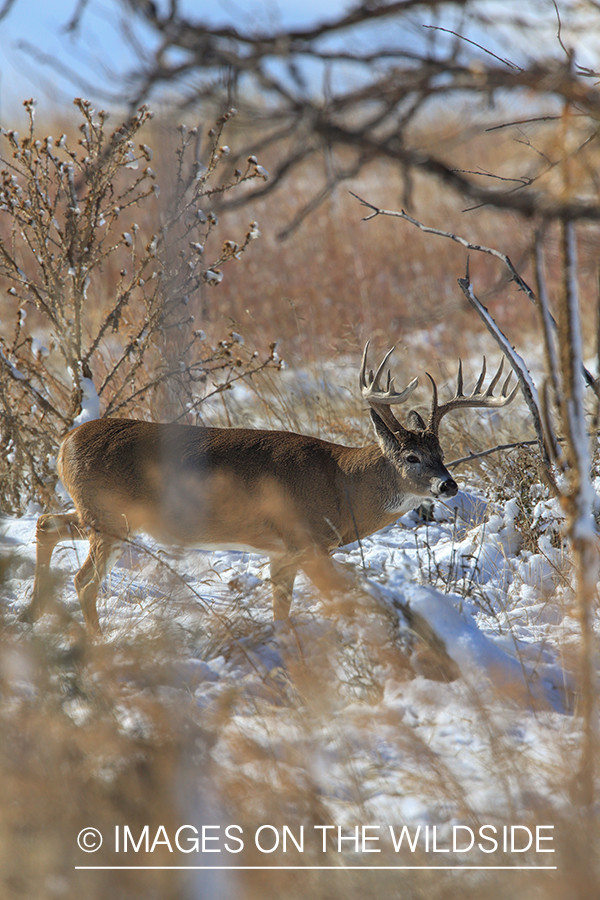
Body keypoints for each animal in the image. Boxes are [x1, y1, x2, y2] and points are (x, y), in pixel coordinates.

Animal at [27, 342, 516, 632]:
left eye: (442, 451)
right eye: (412, 457)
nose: (448, 485)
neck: (342, 483)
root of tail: (66, 441)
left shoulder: (285, 553)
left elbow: (282, 607)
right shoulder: (306, 540)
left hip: (95, 513)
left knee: (45, 522)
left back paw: (31, 613)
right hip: (110, 518)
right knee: (84, 579)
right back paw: (94, 643)